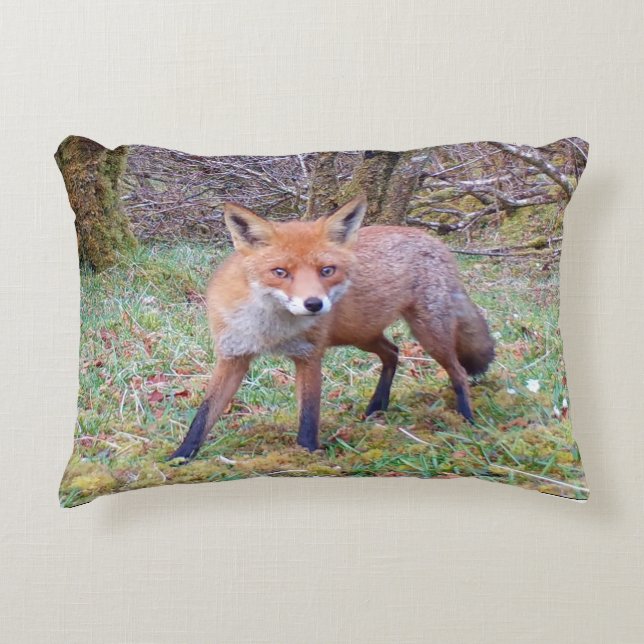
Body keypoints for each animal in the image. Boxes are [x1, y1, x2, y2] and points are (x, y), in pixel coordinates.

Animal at [169, 194, 494, 460]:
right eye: (280, 272)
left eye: (327, 270)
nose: (314, 304)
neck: (271, 329)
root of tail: (433, 241)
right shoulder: (233, 355)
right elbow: (204, 414)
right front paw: (180, 457)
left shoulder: (309, 355)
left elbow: (309, 415)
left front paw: (306, 456)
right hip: (361, 334)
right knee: (393, 352)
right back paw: (377, 406)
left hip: (428, 333)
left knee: (458, 371)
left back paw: (467, 419)